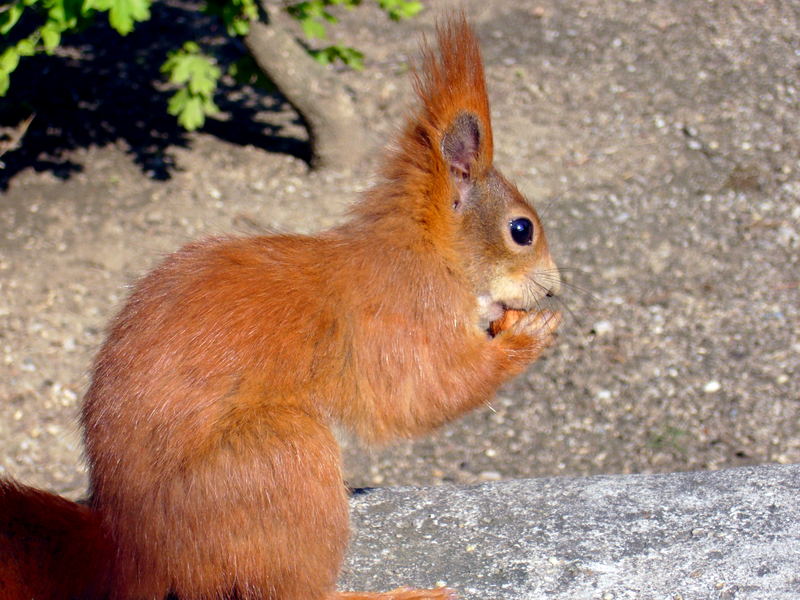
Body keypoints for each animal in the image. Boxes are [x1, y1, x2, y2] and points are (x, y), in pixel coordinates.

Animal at [0, 15, 564, 600]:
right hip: (281, 456)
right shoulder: (403, 316)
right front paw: (528, 336)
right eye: (521, 230)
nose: (553, 287)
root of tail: (133, 553)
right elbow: (420, 394)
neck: (425, 250)